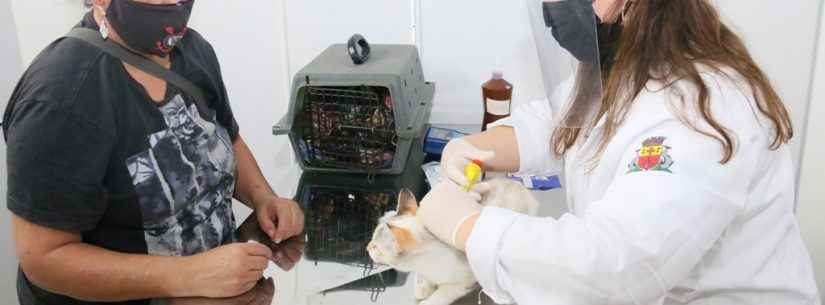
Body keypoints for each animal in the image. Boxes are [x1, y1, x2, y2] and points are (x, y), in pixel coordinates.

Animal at [368, 178, 540, 304]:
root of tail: (517, 183)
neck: (426, 264)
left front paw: (428, 300)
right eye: (372, 239)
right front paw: (424, 288)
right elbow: (429, 280)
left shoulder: (462, 282)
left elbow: (440, 296)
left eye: (376, 247)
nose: (367, 248)